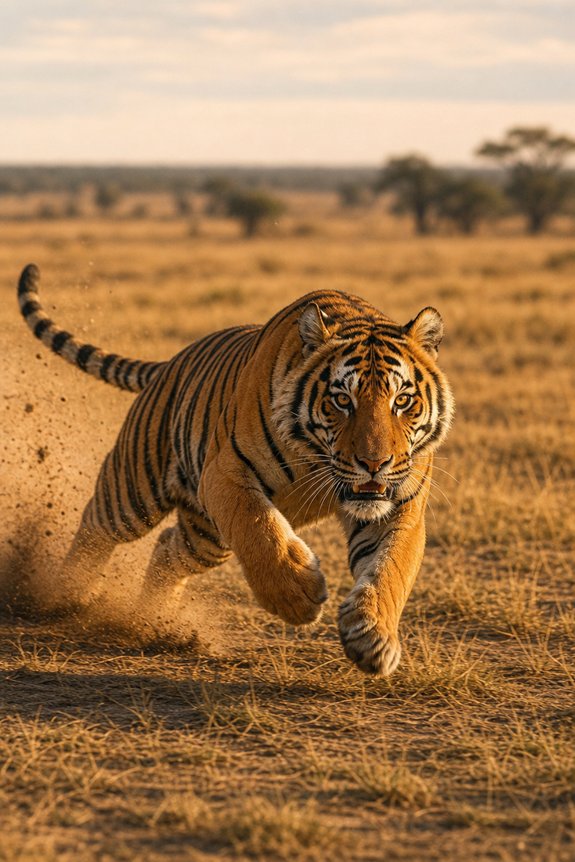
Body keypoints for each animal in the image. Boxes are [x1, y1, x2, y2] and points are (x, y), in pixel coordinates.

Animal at [18, 263, 454, 676]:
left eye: (402, 400)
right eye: (342, 400)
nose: (374, 464)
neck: (319, 461)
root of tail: (170, 362)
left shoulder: (400, 506)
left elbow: (390, 569)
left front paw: (373, 639)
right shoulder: (225, 472)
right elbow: (259, 529)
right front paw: (298, 596)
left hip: (205, 536)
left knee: (168, 548)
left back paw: (153, 620)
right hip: (134, 490)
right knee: (96, 525)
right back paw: (65, 596)